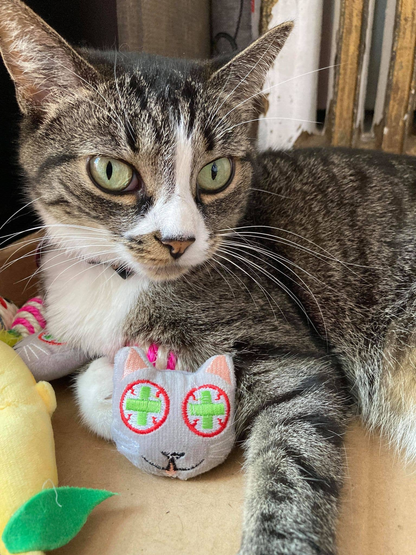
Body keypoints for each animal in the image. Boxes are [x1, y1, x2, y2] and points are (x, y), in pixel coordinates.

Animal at [2, 0, 416, 552]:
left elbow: (293, 463)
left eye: (215, 172)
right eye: (111, 171)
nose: (177, 240)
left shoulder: (291, 357)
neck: (119, 281)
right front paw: (115, 381)